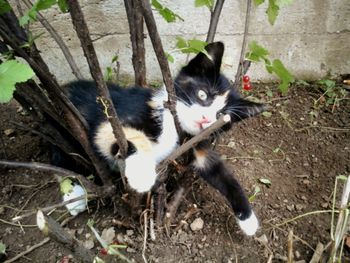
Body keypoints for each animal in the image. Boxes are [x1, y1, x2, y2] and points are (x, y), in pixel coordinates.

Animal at [65, 42, 264, 236]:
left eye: (221, 115)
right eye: (202, 94)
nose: (205, 119)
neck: (175, 126)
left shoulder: (196, 142)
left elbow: (221, 173)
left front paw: (248, 218)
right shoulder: (114, 117)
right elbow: (124, 134)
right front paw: (141, 173)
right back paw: (74, 195)